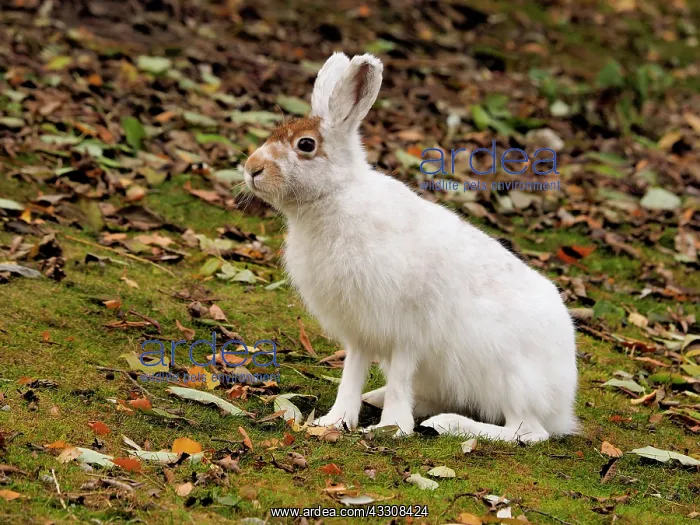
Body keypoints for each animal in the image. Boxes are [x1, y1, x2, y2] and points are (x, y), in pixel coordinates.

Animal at [242, 52, 578, 443]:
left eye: (306, 145)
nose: (251, 168)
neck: (337, 194)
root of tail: (562, 403)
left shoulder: (406, 330)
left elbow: (402, 377)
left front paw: (392, 428)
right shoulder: (361, 332)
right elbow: (352, 374)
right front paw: (334, 421)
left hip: (508, 376)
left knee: (526, 431)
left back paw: (447, 424)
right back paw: (381, 398)